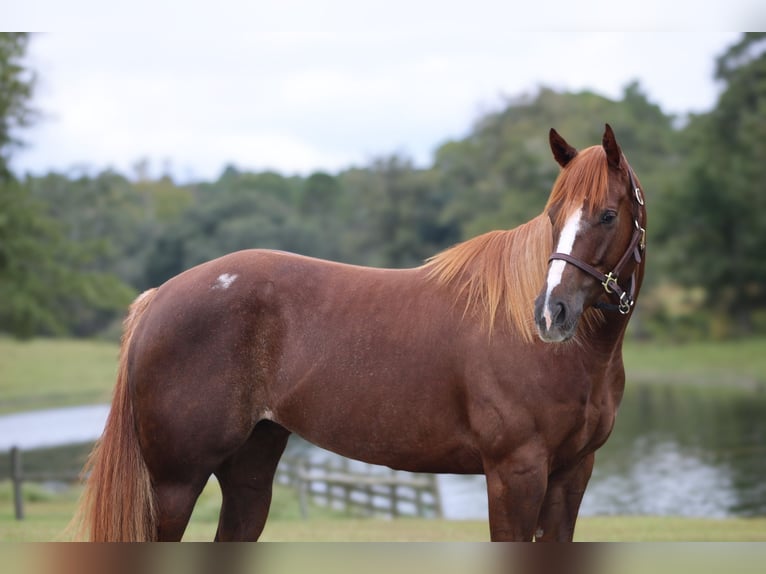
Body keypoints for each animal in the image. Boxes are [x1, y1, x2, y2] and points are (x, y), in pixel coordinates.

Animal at [73, 124, 648, 544]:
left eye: (607, 215)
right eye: (553, 215)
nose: (551, 314)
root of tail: (158, 298)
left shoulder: (572, 474)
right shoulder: (516, 473)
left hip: (249, 471)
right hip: (173, 485)